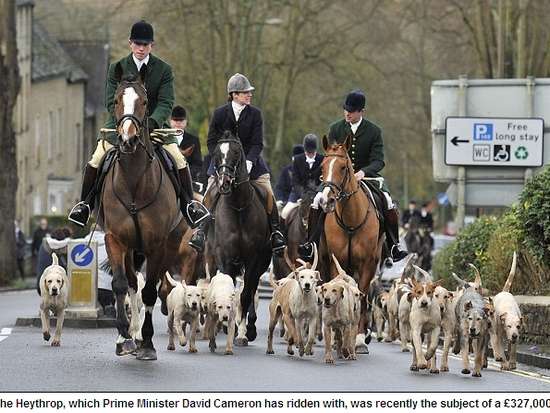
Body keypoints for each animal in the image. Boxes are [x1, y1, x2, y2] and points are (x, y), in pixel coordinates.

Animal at [102, 66, 189, 358]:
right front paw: (123, 337)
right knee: (131, 283)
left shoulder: (157, 244)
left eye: (143, 102)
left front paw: (148, 342)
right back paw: (132, 334)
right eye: (117, 100)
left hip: (168, 247)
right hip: (131, 249)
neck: (133, 181)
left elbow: (151, 290)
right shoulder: (115, 239)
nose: (127, 140)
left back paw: (141, 336)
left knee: (151, 286)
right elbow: (120, 284)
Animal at [206, 132, 272, 344]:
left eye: (236, 153)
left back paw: (249, 328)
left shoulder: (253, 259)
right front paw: (229, 327)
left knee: (251, 289)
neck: (238, 207)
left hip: (261, 264)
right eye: (217, 154)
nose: (224, 183)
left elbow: (244, 295)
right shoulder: (224, 258)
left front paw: (241, 333)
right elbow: (229, 293)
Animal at [316, 134, 386, 350]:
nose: (326, 201)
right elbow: (333, 291)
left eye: (343, 167)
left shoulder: (367, 265)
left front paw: (359, 338)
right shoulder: (334, 261)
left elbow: (361, 298)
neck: (351, 220)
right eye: (322, 166)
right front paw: (335, 336)